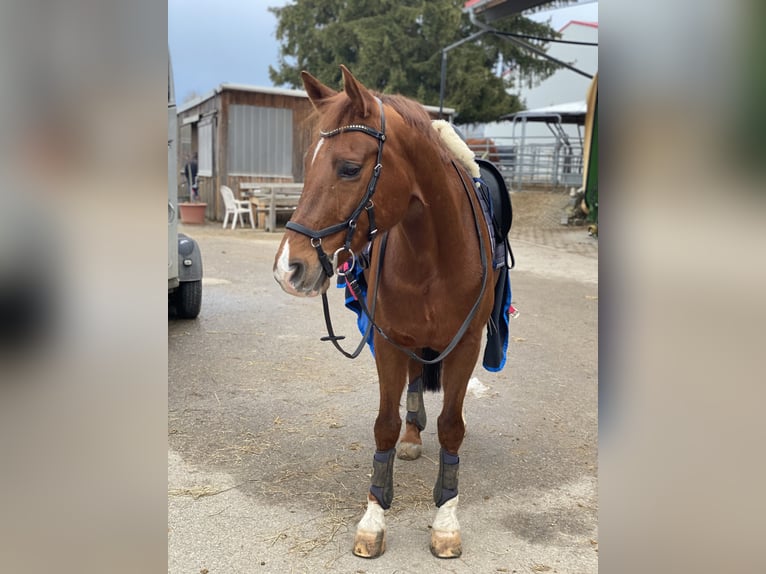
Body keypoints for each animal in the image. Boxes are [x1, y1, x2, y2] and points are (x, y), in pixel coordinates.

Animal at [272, 66, 500, 560]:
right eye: (308, 164)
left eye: (349, 168)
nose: (288, 268)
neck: (433, 255)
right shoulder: (389, 341)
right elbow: (385, 426)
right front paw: (374, 516)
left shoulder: (467, 346)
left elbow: (451, 427)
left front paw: (445, 520)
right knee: (414, 384)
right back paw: (413, 439)